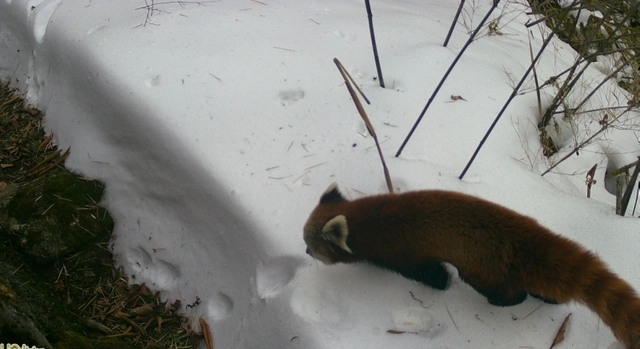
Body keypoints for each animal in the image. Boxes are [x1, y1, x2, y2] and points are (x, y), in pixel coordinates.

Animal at [302, 184, 640, 346]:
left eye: (311, 246)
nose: (304, 251)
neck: (367, 219)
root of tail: (527, 236)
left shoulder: (404, 253)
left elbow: (432, 274)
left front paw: (438, 283)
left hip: (483, 266)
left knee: (509, 291)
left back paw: (502, 301)